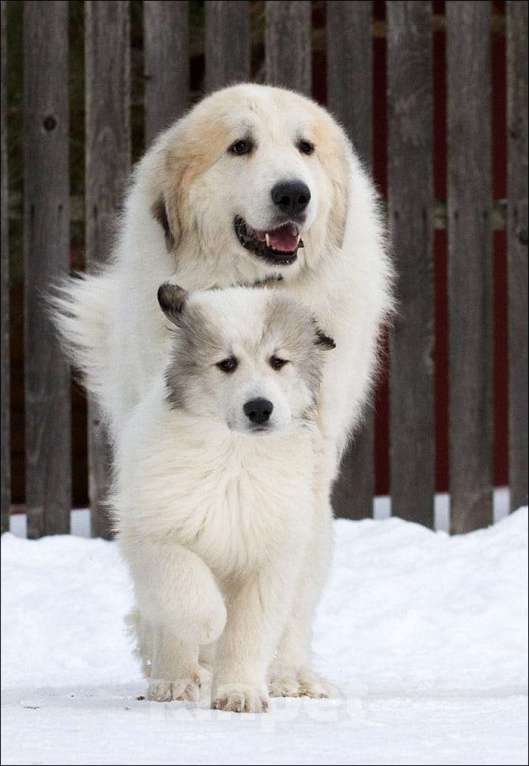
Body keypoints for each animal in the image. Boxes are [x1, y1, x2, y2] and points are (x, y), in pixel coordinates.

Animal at [116, 286, 334, 712]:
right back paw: (174, 681)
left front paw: (239, 692)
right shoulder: (156, 535)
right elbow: (186, 588)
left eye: (278, 361)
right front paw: (209, 625)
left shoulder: (271, 558)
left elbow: (248, 632)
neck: (234, 457)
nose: (260, 408)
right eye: (227, 363)